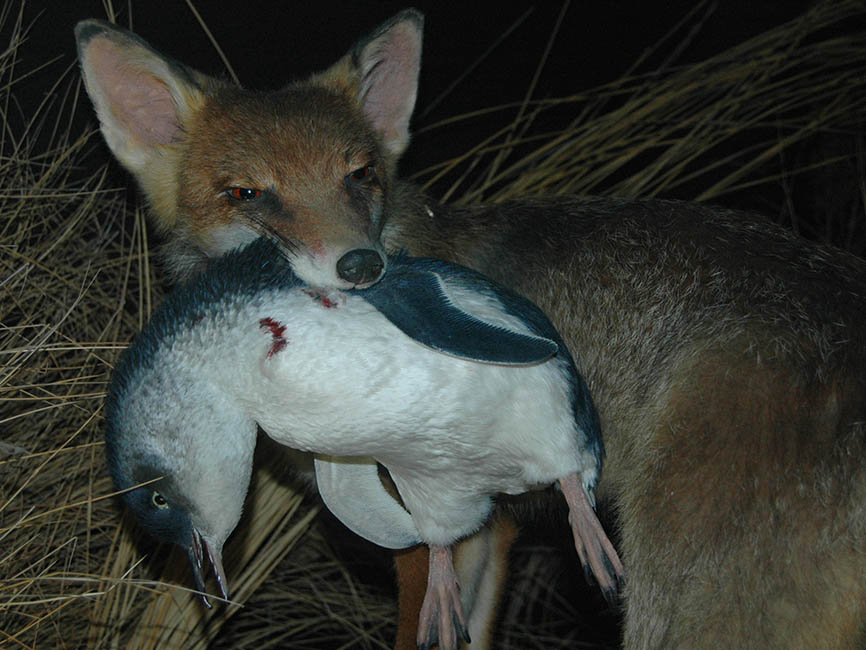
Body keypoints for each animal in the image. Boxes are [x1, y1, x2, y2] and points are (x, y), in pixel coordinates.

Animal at [76, 9, 866, 650]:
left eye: (359, 175)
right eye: (248, 193)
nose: (363, 265)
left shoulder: (422, 528)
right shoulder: (487, 525)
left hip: (682, 609)